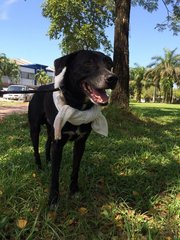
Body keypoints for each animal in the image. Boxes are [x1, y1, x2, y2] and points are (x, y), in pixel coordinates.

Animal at [28, 49, 118, 207]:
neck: (77, 108)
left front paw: (74, 190)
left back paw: (49, 161)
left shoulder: (80, 142)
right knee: (36, 149)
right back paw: (39, 167)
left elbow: (75, 168)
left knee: (47, 144)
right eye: (88, 62)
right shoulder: (58, 144)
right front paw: (53, 199)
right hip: (35, 128)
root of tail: (40, 88)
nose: (113, 78)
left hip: (51, 130)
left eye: (109, 65)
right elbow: (55, 175)